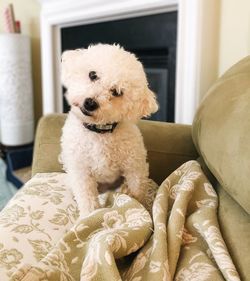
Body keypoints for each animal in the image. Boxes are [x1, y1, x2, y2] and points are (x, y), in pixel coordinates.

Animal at [60, 43, 158, 215]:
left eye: (117, 92)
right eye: (93, 75)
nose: (90, 103)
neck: (99, 132)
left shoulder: (135, 166)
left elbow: (137, 191)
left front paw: (141, 206)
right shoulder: (81, 172)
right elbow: (87, 199)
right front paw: (88, 216)